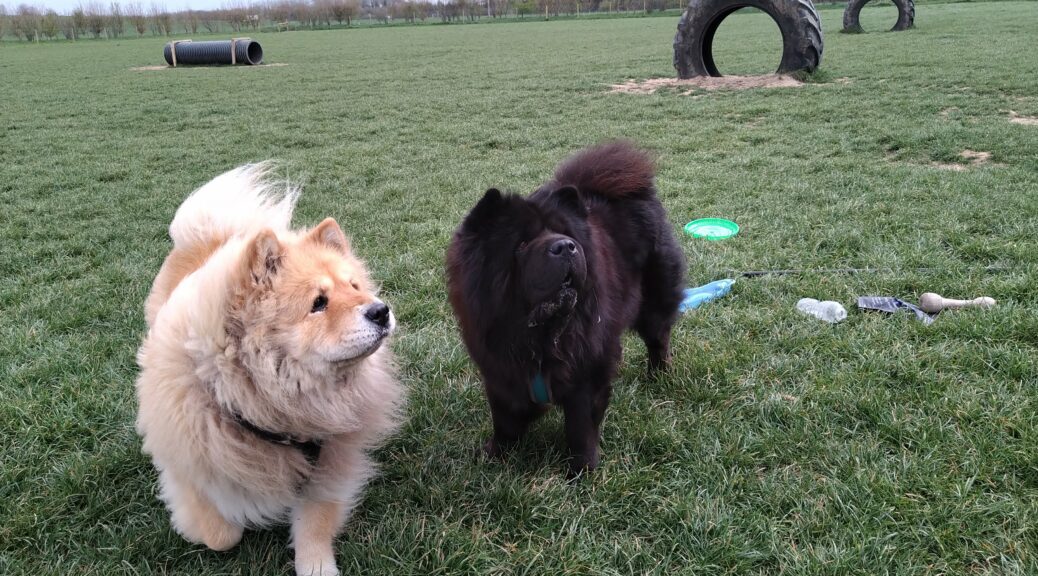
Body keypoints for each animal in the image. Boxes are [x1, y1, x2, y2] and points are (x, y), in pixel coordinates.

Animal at [141, 165, 404, 572]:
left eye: (355, 286)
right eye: (318, 303)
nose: (381, 310)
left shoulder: (329, 464)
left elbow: (315, 524)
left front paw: (318, 566)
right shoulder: (189, 463)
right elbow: (221, 534)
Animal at [448, 141, 685, 477]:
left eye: (568, 235)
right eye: (521, 244)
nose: (566, 246)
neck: (540, 334)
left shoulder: (587, 372)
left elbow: (580, 428)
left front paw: (582, 471)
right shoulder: (500, 371)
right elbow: (505, 419)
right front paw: (494, 455)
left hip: (654, 302)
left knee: (658, 338)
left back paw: (658, 375)